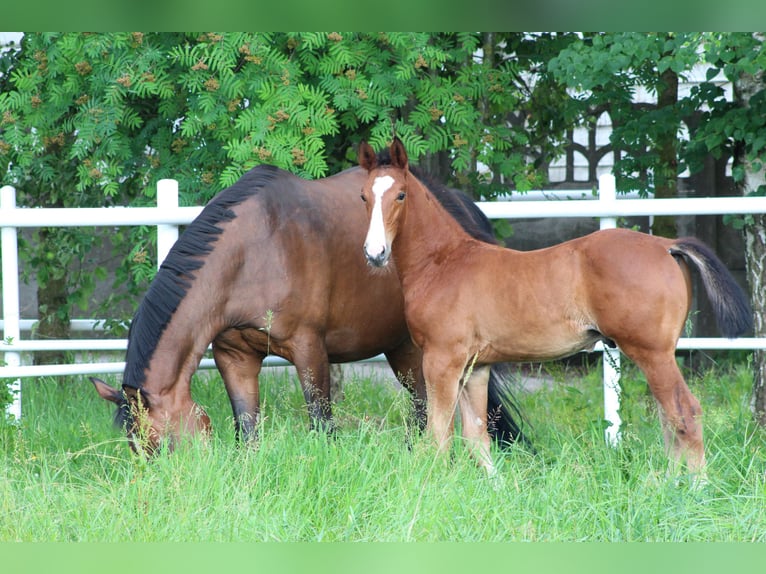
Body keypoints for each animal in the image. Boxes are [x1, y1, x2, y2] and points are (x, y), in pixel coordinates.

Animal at [91, 160, 528, 456]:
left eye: (164, 445)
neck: (253, 251)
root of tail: (458, 205)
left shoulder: (309, 350)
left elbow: (322, 425)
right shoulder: (235, 356)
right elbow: (247, 430)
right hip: (403, 347)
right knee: (423, 406)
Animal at [362, 140, 756, 476]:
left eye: (400, 194)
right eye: (364, 196)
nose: (374, 253)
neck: (443, 262)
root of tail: (666, 245)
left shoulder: (441, 361)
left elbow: (438, 437)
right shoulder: (476, 367)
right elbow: (477, 437)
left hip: (652, 352)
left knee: (684, 413)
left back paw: (695, 488)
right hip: (657, 356)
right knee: (668, 418)